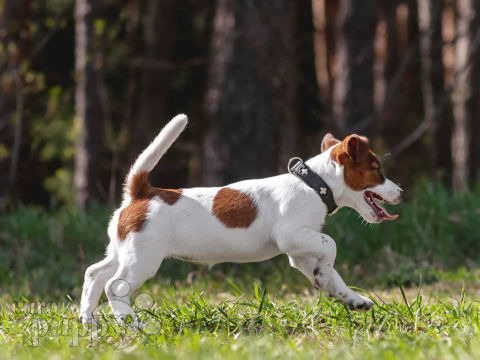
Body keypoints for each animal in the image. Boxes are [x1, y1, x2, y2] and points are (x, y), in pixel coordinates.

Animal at [79, 114, 404, 322]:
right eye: (377, 169)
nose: (401, 192)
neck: (314, 183)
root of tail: (142, 192)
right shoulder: (292, 236)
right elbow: (331, 244)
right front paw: (326, 278)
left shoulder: (299, 251)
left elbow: (332, 271)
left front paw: (349, 297)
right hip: (142, 259)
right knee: (114, 286)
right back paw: (131, 325)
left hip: (121, 252)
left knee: (94, 274)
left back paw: (88, 322)